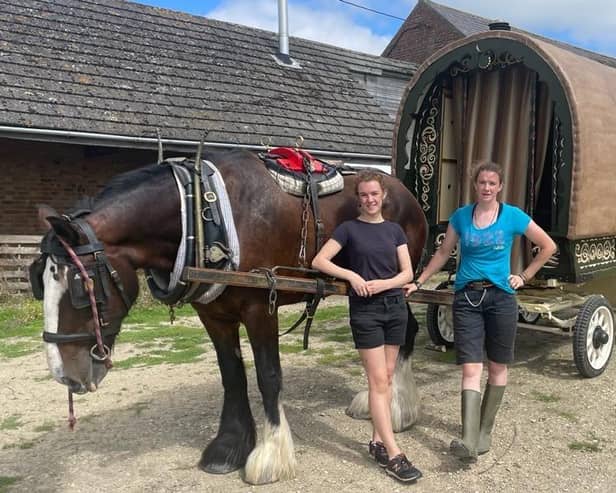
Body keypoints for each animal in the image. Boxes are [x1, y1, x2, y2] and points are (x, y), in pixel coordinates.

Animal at [32, 148, 428, 482]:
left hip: (396, 284)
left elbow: (268, 376)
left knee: (406, 332)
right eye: (39, 281)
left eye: (81, 286)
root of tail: (403, 191)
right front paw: (230, 446)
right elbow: (232, 376)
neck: (202, 218)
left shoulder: (260, 307)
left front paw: (271, 455)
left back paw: (397, 409)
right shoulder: (213, 314)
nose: (65, 375)